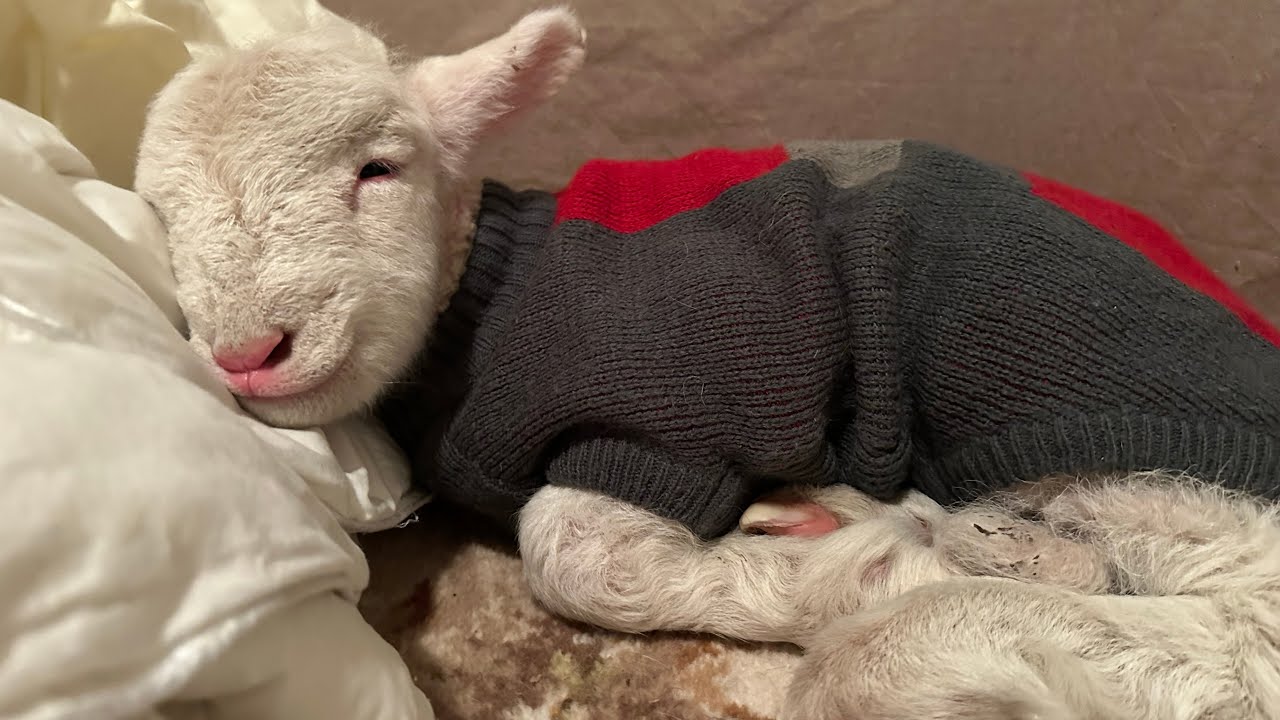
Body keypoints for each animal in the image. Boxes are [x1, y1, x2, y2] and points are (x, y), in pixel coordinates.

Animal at [134, 8, 1280, 718]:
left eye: (379, 169)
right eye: (158, 209)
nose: (249, 354)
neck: (480, 296)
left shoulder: (672, 409)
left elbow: (573, 550)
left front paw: (840, 571)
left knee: (1239, 636)